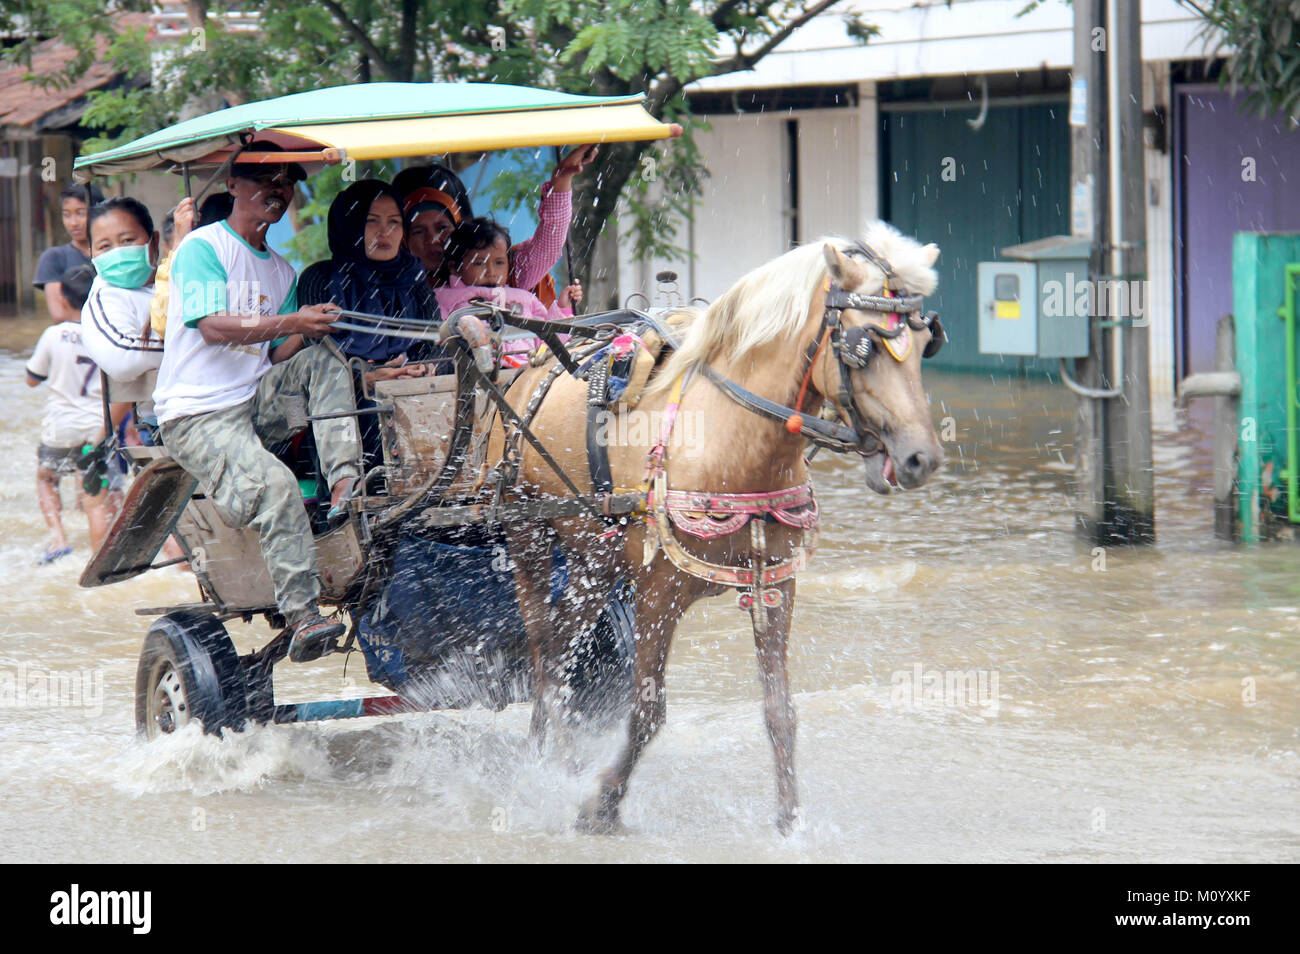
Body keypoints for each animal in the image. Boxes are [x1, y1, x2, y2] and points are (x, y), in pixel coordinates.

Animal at [488, 223, 946, 837]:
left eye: (925, 346)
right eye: (863, 347)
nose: (922, 458)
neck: (734, 443)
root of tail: (531, 364)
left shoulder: (775, 586)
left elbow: (780, 711)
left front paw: (789, 821)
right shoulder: (657, 593)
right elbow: (647, 712)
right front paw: (601, 806)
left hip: (594, 558)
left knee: (563, 646)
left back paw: (553, 755)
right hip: (530, 537)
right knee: (542, 650)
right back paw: (546, 760)